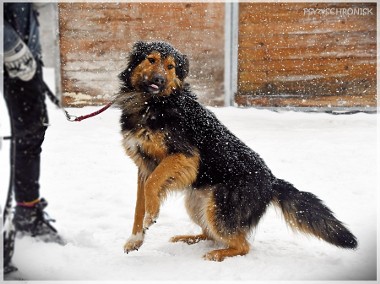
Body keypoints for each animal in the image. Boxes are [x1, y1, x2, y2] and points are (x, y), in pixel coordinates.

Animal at [115, 41, 356, 260]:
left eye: (171, 66)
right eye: (151, 60)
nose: (159, 79)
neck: (151, 103)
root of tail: (271, 180)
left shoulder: (185, 156)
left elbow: (153, 184)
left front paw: (152, 214)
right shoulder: (143, 166)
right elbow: (140, 203)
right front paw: (136, 239)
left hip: (219, 207)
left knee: (242, 245)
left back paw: (217, 254)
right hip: (197, 203)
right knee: (212, 235)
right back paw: (189, 239)